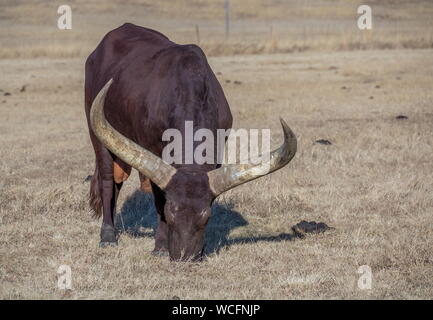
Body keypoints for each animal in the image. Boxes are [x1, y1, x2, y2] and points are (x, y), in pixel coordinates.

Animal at [83, 23, 296, 262]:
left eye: (206, 216)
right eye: (171, 212)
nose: (185, 256)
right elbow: (157, 200)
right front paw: (160, 246)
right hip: (96, 133)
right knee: (108, 181)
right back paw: (108, 235)